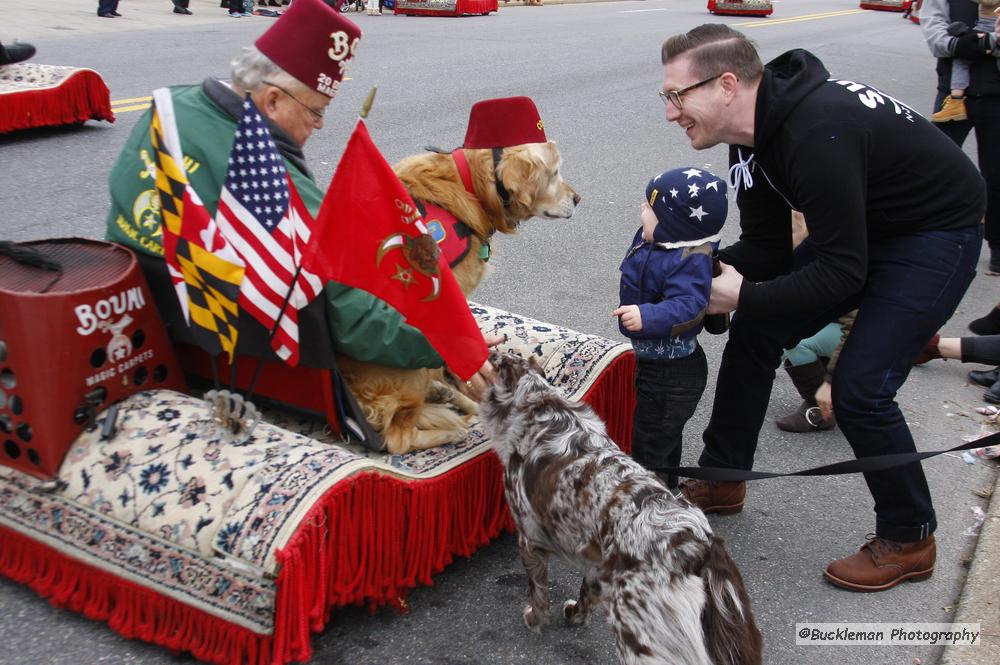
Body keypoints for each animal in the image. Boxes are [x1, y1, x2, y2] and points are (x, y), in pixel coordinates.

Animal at [480, 350, 760, 660]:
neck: (539, 407)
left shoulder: (530, 538)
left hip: (637, 634)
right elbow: (586, 594)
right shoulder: (594, 559)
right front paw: (574, 615)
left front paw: (534, 618)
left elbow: (537, 590)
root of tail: (702, 549)